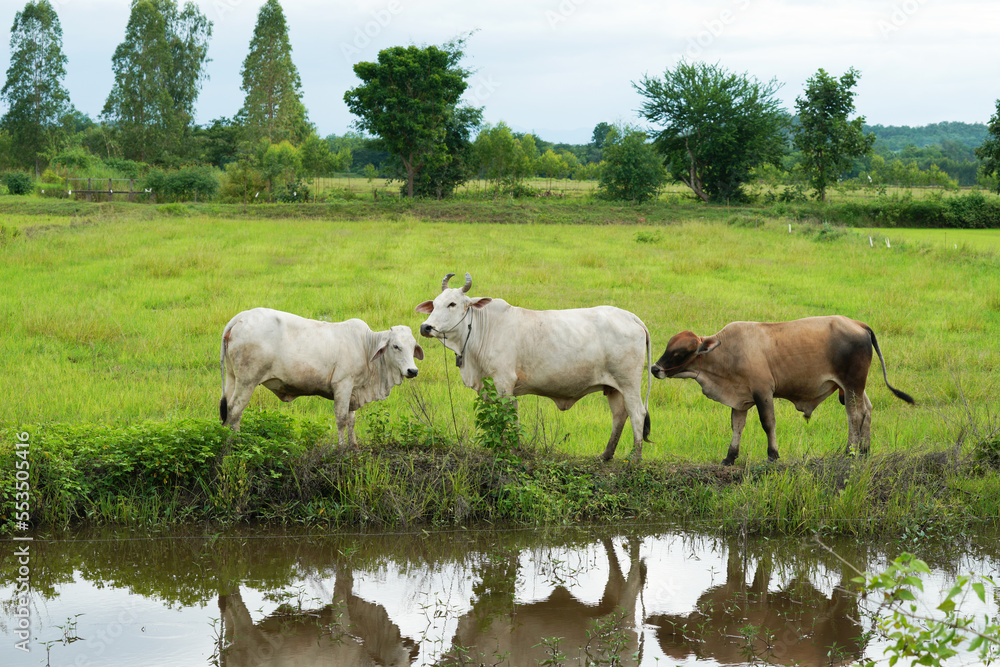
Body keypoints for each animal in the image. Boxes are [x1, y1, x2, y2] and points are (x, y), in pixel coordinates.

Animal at [219, 310, 422, 448]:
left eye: (413, 346)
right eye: (396, 346)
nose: (412, 370)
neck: (366, 347)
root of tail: (239, 318)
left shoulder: (353, 391)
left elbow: (352, 420)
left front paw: (354, 447)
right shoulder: (343, 385)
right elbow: (341, 419)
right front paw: (341, 448)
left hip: (232, 377)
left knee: (227, 410)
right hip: (247, 381)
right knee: (235, 410)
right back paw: (235, 443)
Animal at [412, 274, 652, 462]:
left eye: (452, 304)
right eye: (434, 304)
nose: (426, 327)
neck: (483, 328)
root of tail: (631, 317)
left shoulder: (504, 382)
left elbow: (509, 416)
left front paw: (512, 450)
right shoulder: (489, 387)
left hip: (629, 383)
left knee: (637, 414)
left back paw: (635, 458)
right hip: (613, 388)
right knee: (619, 416)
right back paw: (606, 455)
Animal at [648, 318, 916, 464]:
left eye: (679, 353)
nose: (654, 368)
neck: (726, 352)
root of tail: (858, 324)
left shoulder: (763, 391)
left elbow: (768, 423)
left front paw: (773, 455)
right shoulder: (740, 399)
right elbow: (737, 426)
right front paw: (730, 457)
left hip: (851, 384)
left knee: (854, 415)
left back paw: (850, 452)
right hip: (855, 387)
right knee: (867, 411)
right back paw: (865, 451)